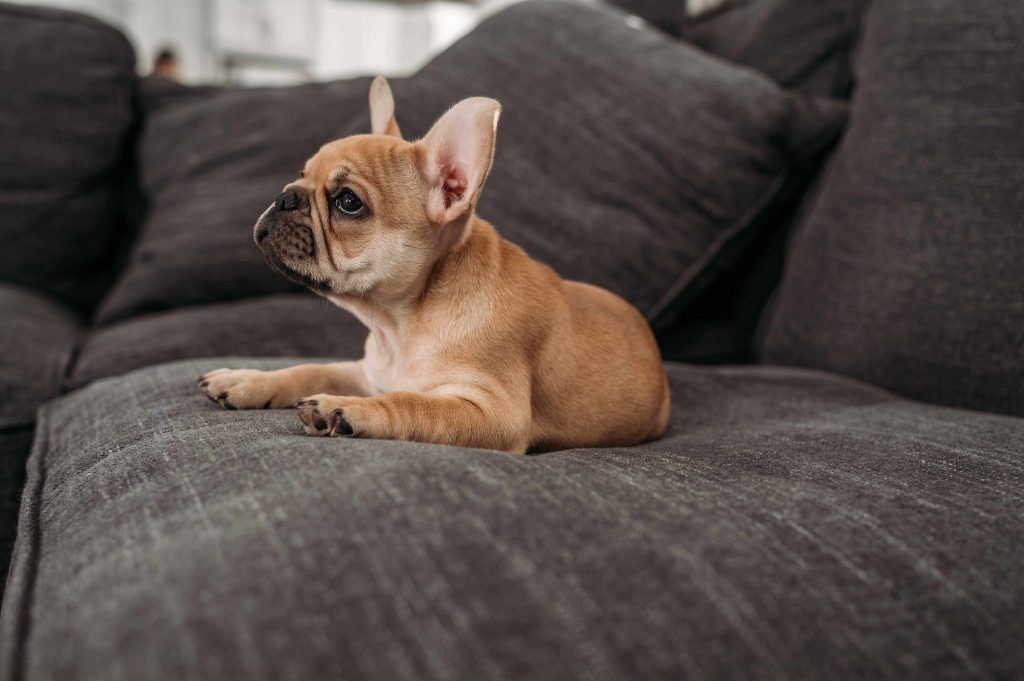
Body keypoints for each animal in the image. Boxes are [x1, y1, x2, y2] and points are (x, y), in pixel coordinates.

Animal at [201, 78, 671, 450]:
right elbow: (310, 369)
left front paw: (345, 409)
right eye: (301, 176)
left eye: (348, 202)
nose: (285, 197)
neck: (403, 323)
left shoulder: (493, 414)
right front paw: (247, 380)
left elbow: (411, 403)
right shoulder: (366, 372)